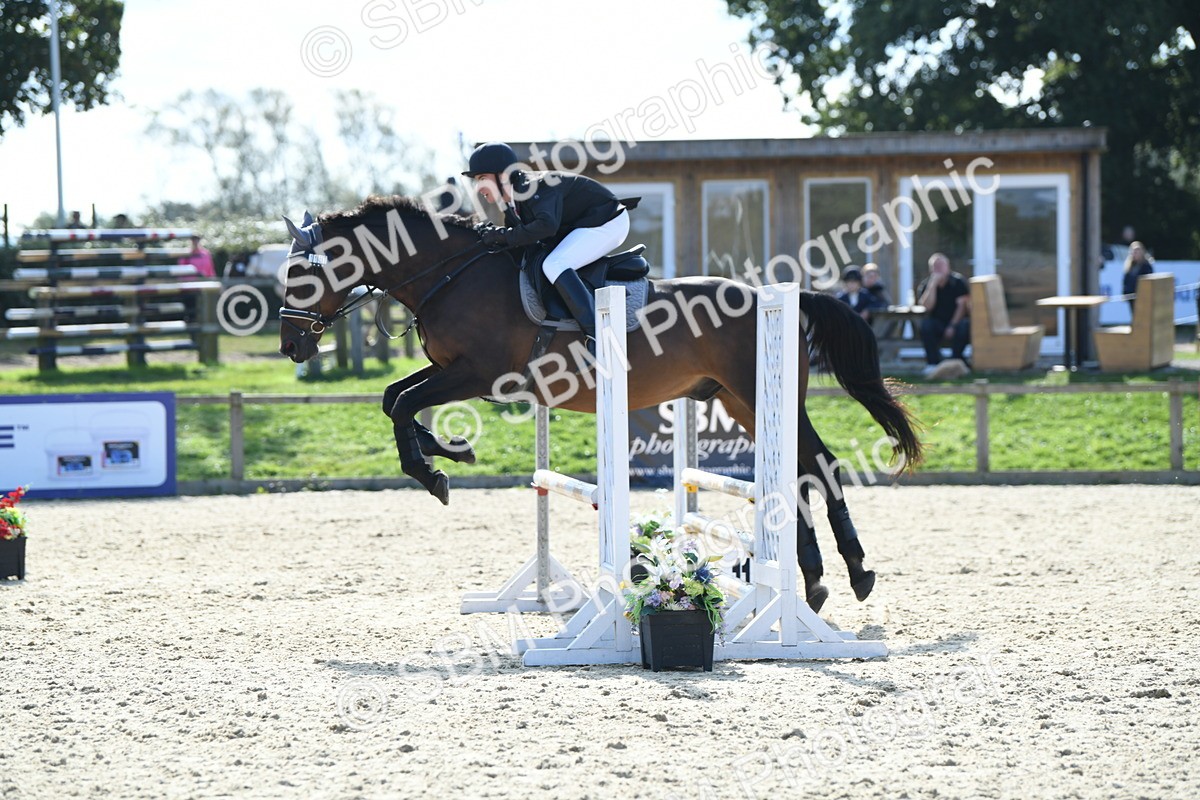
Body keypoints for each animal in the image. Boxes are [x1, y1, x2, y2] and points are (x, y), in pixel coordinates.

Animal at [277, 195, 922, 609]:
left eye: (300, 275)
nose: (290, 346)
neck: (451, 274)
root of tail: (777, 295)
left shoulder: (479, 374)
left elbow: (404, 404)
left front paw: (434, 471)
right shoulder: (452, 371)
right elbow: (395, 398)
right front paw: (450, 453)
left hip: (759, 394)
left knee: (820, 466)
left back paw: (856, 573)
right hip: (741, 402)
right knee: (798, 472)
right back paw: (812, 584)